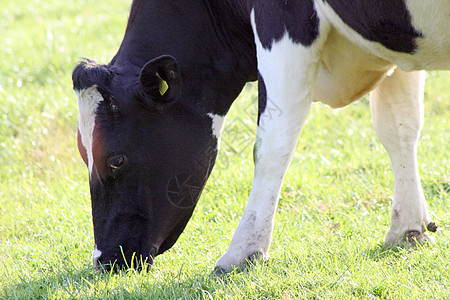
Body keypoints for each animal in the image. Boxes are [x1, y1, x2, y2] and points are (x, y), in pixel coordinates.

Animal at [72, 0, 448, 272]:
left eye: (116, 159)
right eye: (81, 153)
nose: (104, 259)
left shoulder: (283, 23)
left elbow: (272, 142)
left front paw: (244, 251)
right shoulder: (391, 40)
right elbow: (398, 126)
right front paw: (409, 229)